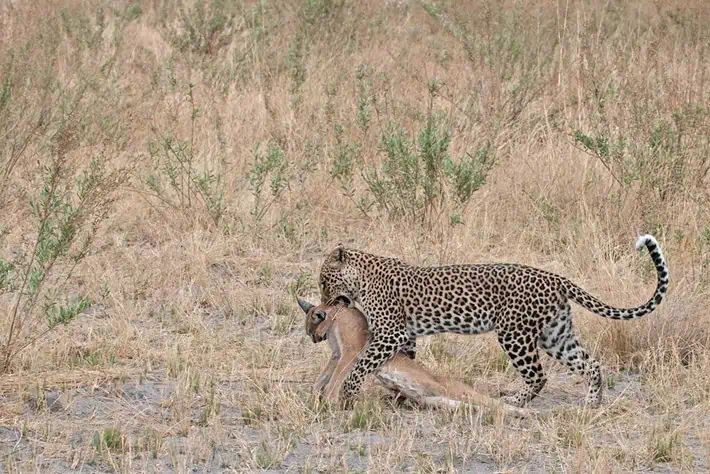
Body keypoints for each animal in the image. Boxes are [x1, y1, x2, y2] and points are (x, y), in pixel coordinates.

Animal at [296, 298, 533, 418]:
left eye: (310, 330)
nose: (314, 339)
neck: (336, 319)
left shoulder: (350, 353)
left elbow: (334, 381)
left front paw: (329, 403)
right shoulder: (337, 355)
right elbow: (323, 377)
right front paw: (315, 397)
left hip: (453, 389)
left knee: (490, 402)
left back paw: (526, 412)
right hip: (439, 401)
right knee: (476, 407)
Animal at [317, 234, 668, 408]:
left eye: (323, 281)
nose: (323, 303)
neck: (361, 279)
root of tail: (554, 277)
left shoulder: (390, 332)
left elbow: (363, 363)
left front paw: (349, 392)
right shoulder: (405, 336)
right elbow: (407, 363)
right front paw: (399, 396)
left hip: (515, 334)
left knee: (538, 375)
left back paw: (517, 400)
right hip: (555, 334)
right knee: (590, 363)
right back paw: (593, 402)